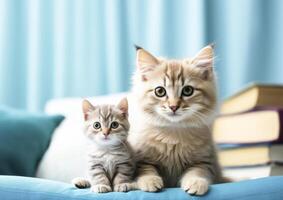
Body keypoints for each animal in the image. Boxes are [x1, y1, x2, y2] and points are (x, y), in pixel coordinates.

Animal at [129, 45, 224, 195]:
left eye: (188, 90)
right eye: (160, 91)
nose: (173, 107)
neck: (173, 134)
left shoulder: (204, 161)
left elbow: (197, 172)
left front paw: (196, 183)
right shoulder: (142, 159)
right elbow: (146, 170)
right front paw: (150, 181)